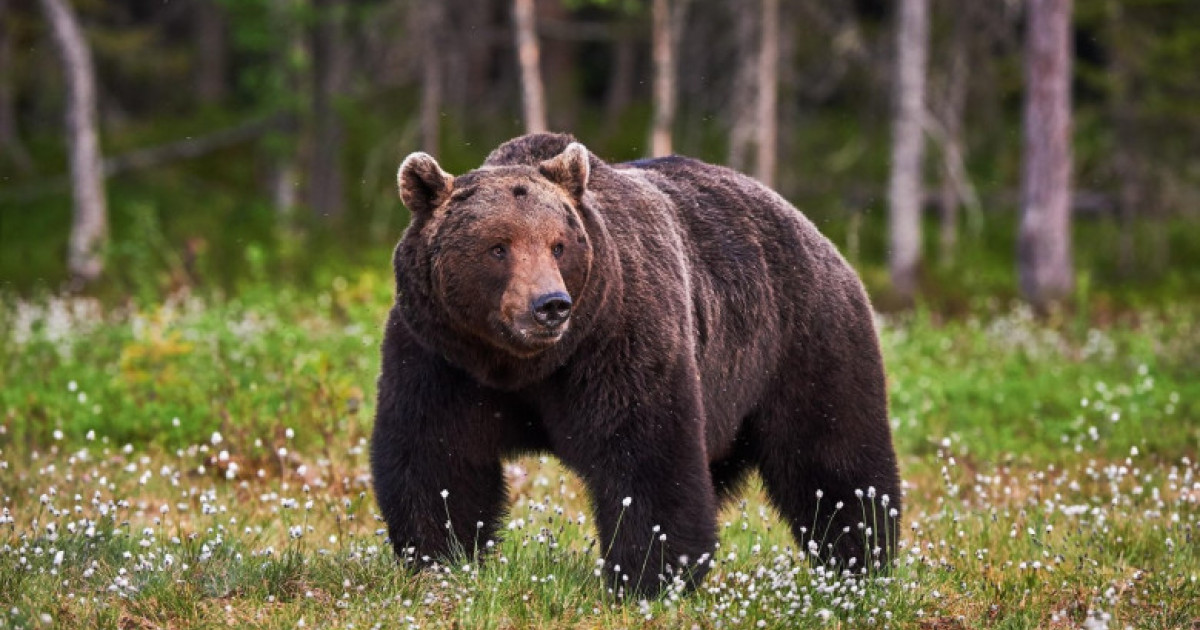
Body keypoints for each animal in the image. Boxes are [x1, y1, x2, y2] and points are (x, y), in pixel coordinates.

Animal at [372, 132, 902, 595]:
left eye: (558, 244)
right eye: (498, 246)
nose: (550, 305)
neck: (522, 364)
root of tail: (816, 232)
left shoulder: (616, 339)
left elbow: (644, 453)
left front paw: (645, 575)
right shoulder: (442, 356)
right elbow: (437, 454)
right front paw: (441, 555)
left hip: (803, 342)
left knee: (833, 457)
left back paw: (861, 560)